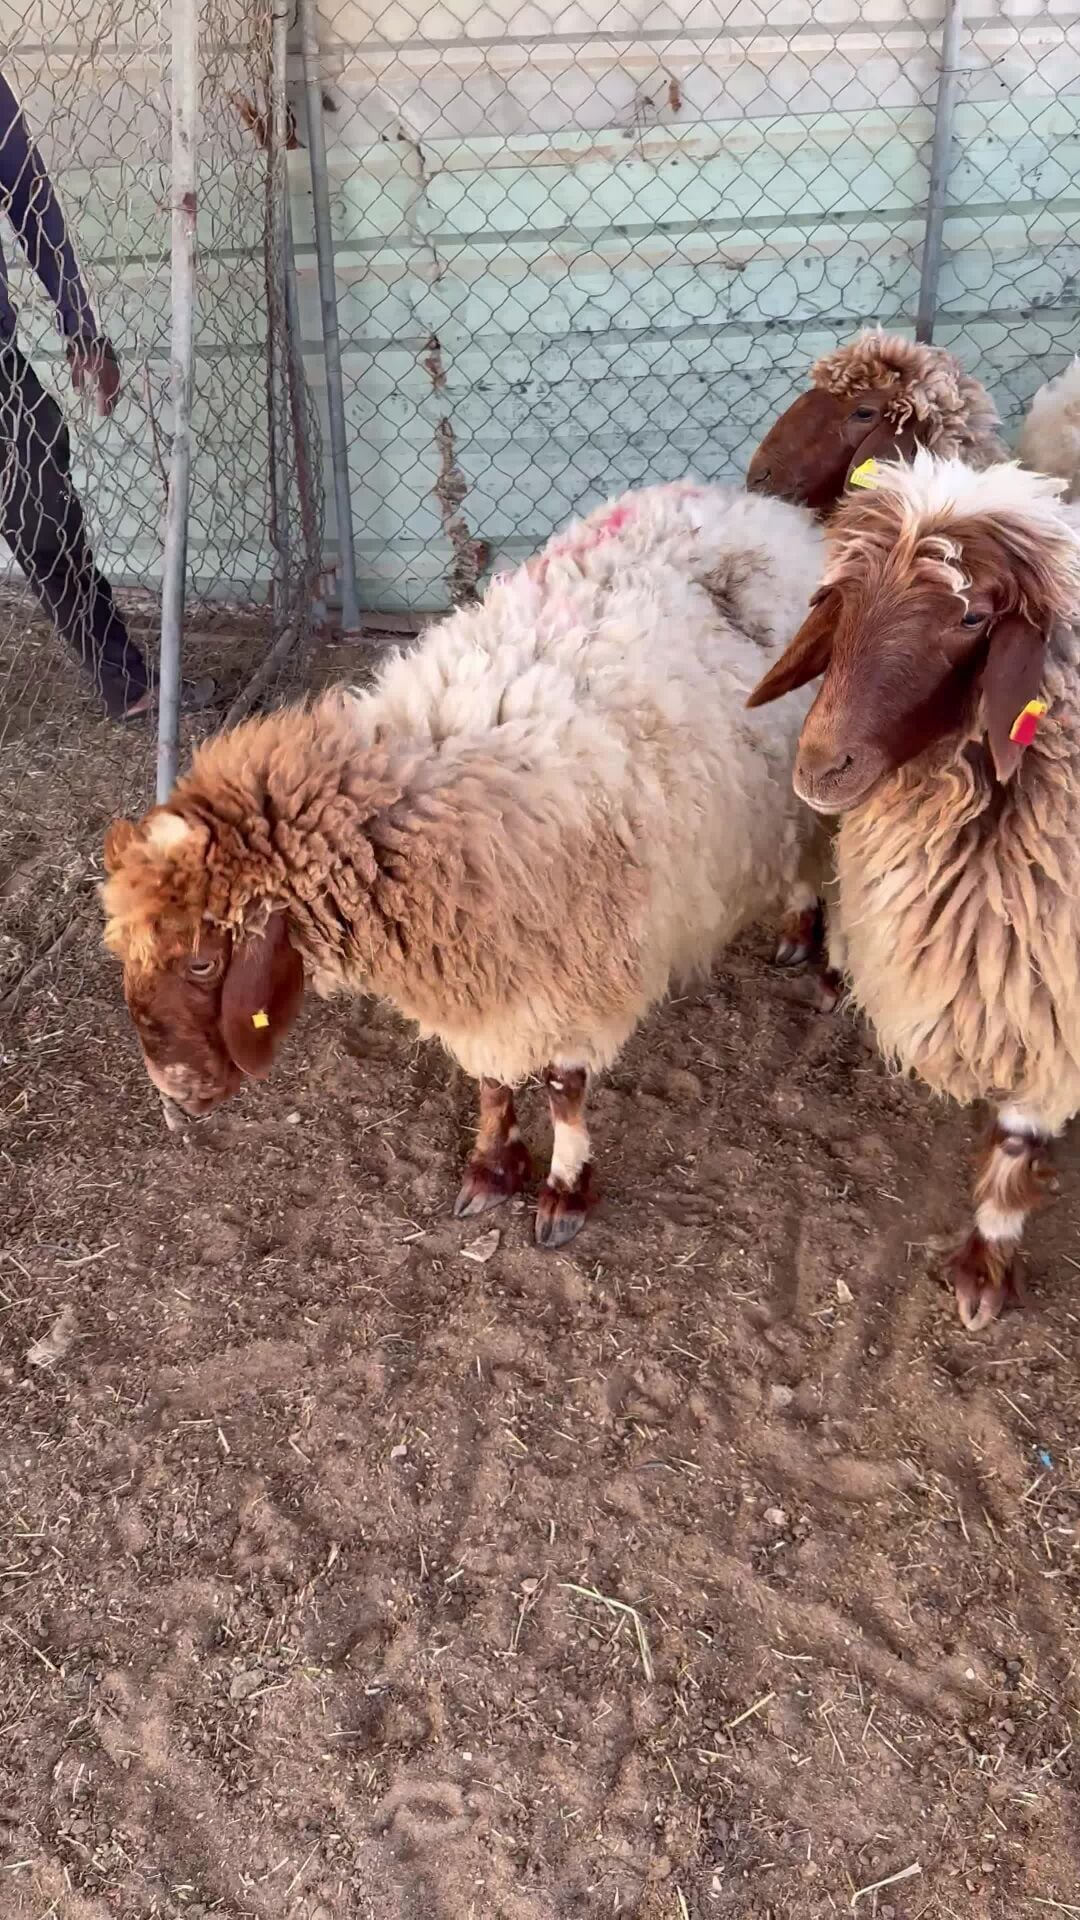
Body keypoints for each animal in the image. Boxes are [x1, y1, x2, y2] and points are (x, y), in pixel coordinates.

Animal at [102, 479, 831, 1248]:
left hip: (808, 791)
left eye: (203, 962)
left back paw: (803, 936)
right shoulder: (484, 977)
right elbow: (491, 1080)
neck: (408, 807)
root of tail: (757, 504)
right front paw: (492, 1166)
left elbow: (564, 1089)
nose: (175, 1097)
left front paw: (565, 1190)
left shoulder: (581, 971)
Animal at [746, 450, 1080, 1329]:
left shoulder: (1051, 1002)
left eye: (974, 619)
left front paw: (985, 1267)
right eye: (839, 596)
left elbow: (1018, 1136)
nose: (819, 766)